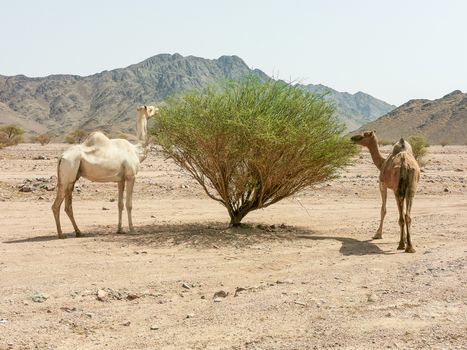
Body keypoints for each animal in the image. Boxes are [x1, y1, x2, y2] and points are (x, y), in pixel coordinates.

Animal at [50, 105, 157, 239]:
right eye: (151, 109)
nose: (158, 109)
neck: (136, 150)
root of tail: (61, 157)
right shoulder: (131, 176)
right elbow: (129, 204)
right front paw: (132, 230)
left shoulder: (120, 180)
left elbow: (120, 204)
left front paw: (120, 229)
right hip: (67, 171)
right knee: (56, 205)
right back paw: (61, 234)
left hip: (71, 179)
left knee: (68, 206)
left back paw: (79, 232)